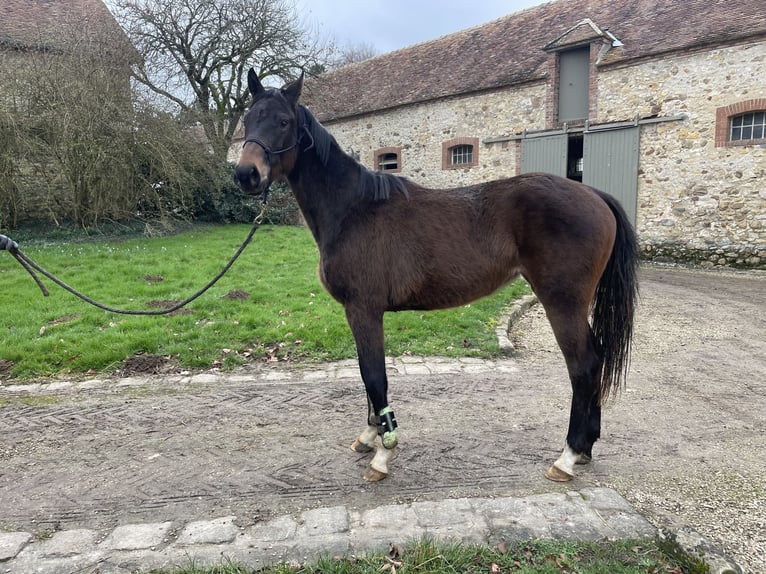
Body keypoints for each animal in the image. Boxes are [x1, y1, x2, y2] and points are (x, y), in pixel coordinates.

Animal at [236, 71, 640, 486]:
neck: (354, 208)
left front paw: (383, 452)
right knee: (596, 361)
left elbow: (374, 376)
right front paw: (369, 436)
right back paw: (586, 449)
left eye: (283, 122)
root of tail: (594, 194)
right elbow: (367, 379)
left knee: (584, 366)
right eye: (247, 120)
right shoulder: (361, 312)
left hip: (562, 303)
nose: (246, 174)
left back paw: (569, 456)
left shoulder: (363, 309)